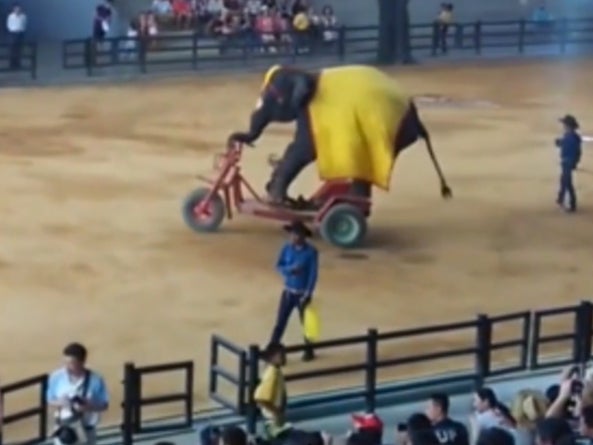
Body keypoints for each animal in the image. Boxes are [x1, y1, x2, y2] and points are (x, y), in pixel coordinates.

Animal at [229, 63, 450, 205]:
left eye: (272, 98)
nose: (245, 143)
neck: (307, 74)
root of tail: (414, 111)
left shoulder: (310, 112)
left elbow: (303, 148)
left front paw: (275, 199)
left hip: (392, 131)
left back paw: (349, 202)